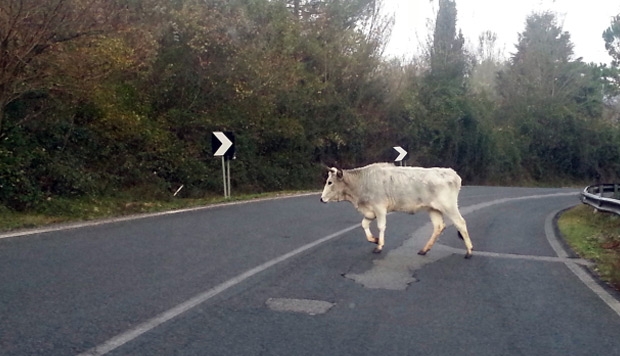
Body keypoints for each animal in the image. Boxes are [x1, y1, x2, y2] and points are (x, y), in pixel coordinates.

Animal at [322, 162, 472, 258]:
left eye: (330, 182)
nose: (321, 199)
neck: (362, 183)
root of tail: (451, 172)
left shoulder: (380, 208)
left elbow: (381, 226)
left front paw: (379, 246)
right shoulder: (370, 211)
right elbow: (364, 224)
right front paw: (374, 239)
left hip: (449, 206)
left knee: (460, 223)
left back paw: (469, 251)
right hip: (433, 209)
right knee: (439, 226)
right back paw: (424, 250)